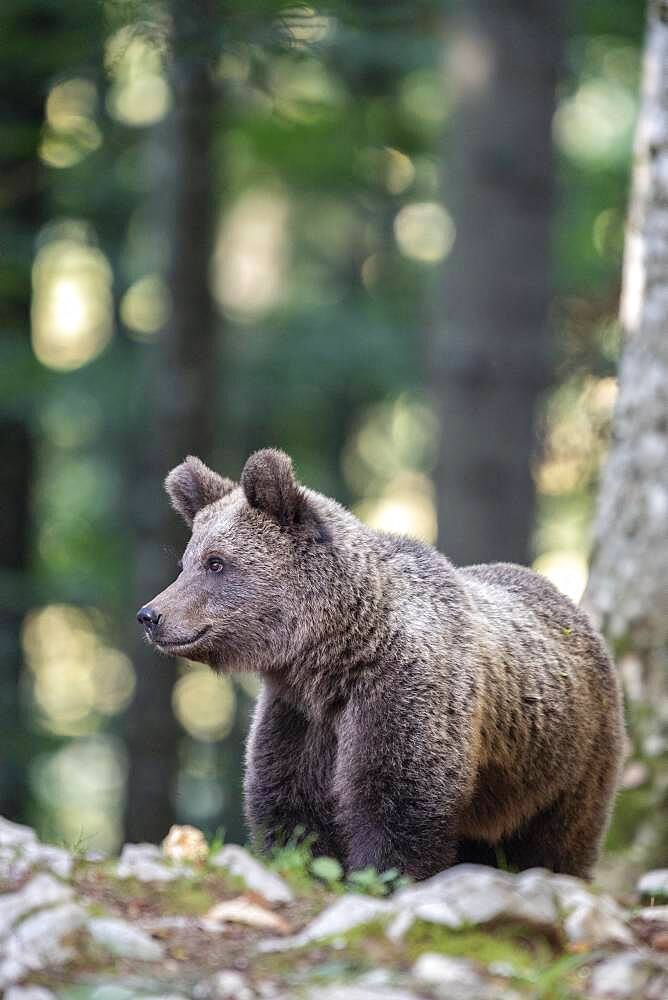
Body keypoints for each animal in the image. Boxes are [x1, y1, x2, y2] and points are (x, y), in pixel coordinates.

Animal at [137, 450, 628, 880]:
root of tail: (571, 606)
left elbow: (398, 799)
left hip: (565, 765)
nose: (150, 615)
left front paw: (380, 873)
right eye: (184, 563)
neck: (332, 657)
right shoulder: (299, 716)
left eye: (216, 563)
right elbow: (290, 804)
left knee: (559, 840)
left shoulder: (402, 695)